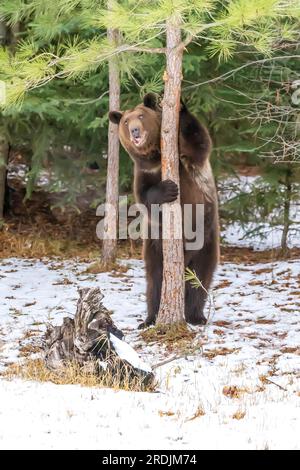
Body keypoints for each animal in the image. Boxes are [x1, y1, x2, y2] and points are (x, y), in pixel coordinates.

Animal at [109, 92, 219, 326]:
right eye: (126, 121)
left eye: (141, 116)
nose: (134, 130)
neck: (156, 157)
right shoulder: (144, 173)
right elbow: (145, 198)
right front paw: (168, 189)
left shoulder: (186, 157)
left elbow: (200, 141)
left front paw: (180, 106)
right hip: (155, 246)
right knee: (155, 281)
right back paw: (150, 318)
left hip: (206, 239)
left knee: (200, 278)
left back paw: (196, 316)